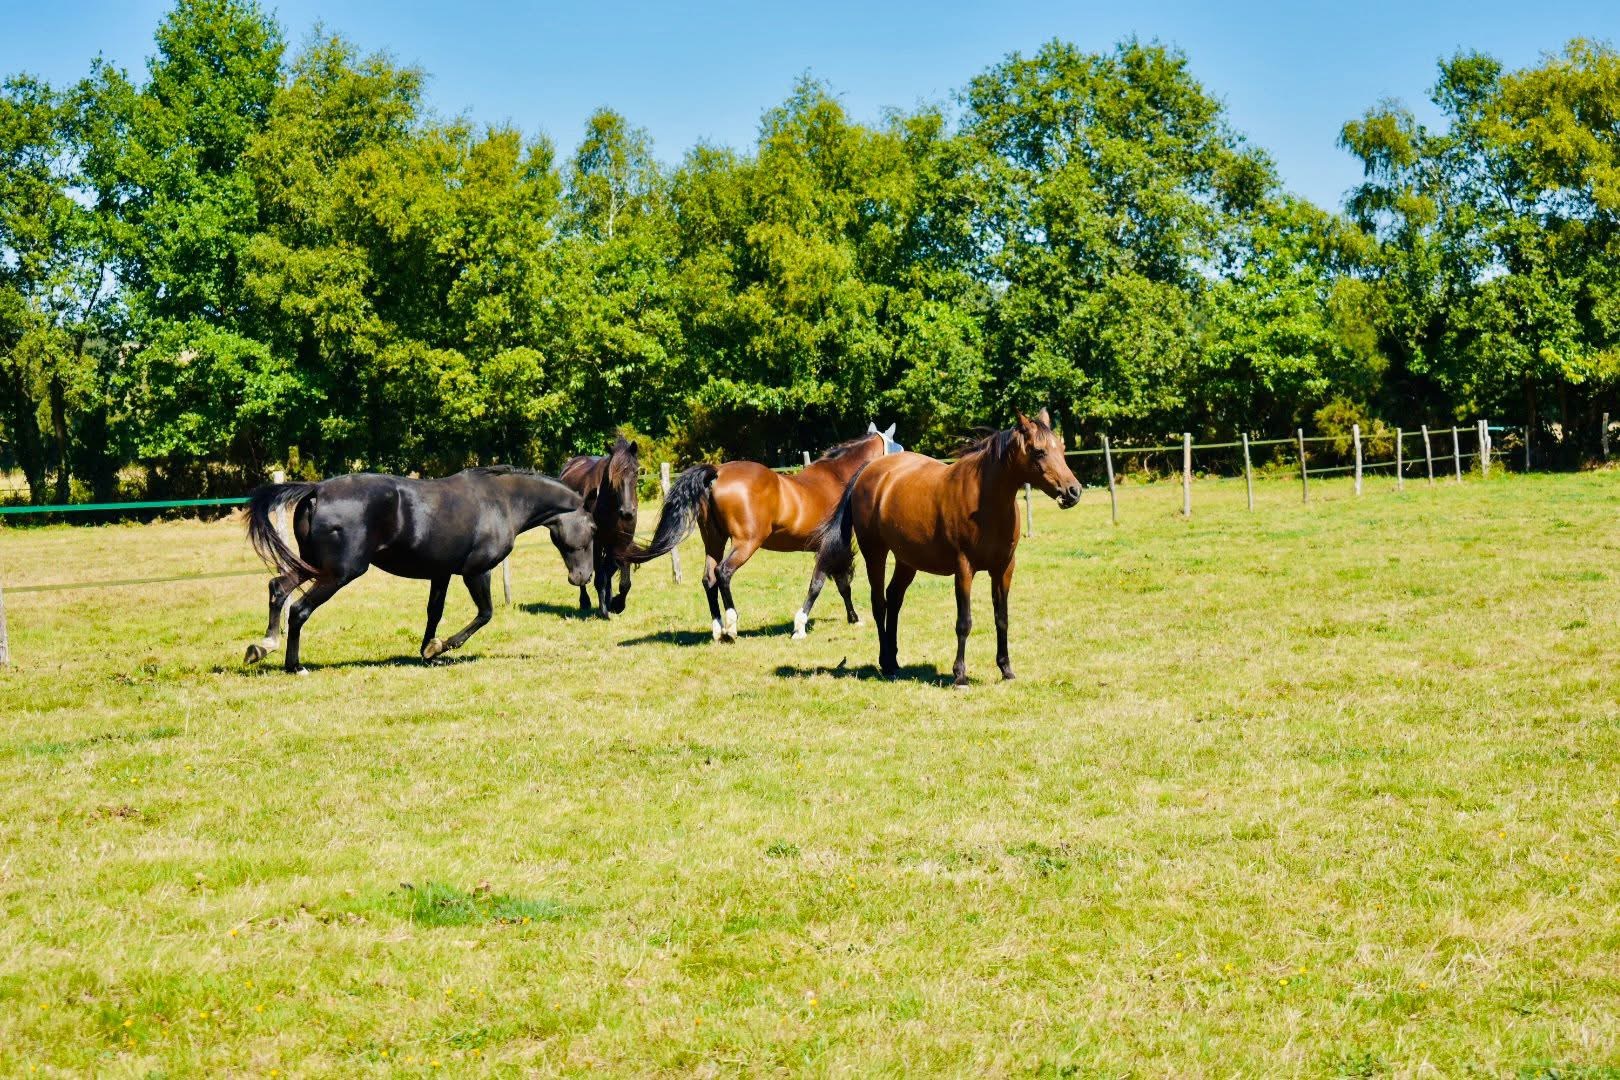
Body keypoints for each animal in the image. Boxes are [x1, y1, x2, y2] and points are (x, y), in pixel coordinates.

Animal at [242, 467, 596, 673]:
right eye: (593, 528)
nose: (583, 577)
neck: (502, 502)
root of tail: (317, 491)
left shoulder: (441, 573)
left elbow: (434, 612)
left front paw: (427, 651)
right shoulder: (476, 572)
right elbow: (485, 614)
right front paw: (440, 647)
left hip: (313, 565)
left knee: (278, 588)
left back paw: (262, 646)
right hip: (340, 572)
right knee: (299, 609)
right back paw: (294, 665)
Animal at [558, 435, 640, 618]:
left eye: (636, 472)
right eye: (612, 476)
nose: (627, 512)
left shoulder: (623, 542)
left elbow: (621, 579)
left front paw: (616, 603)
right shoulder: (596, 542)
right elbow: (599, 576)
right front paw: (604, 610)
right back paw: (585, 601)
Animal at [629, 423, 903, 641]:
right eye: (899, 450)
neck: (838, 477)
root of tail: (717, 472)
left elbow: (841, 584)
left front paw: (853, 618)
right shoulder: (832, 546)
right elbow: (820, 583)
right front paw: (800, 627)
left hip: (714, 541)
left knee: (709, 579)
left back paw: (718, 629)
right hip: (746, 543)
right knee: (723, 573)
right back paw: (731, 626)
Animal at [813, 410, 1081, 686]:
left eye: (1062, 449)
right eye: (1038, 451)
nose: (1073, 491)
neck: (984, 501)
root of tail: (869, 470)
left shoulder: (1004, 568)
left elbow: (1002, 618)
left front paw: (1006, 669)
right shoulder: (964, 569)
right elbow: (964, 622)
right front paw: (960, 675)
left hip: (907, 561)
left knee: (894, 599)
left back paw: (894, 661)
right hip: (875, 553)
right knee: (880, 604)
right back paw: (885, 662)